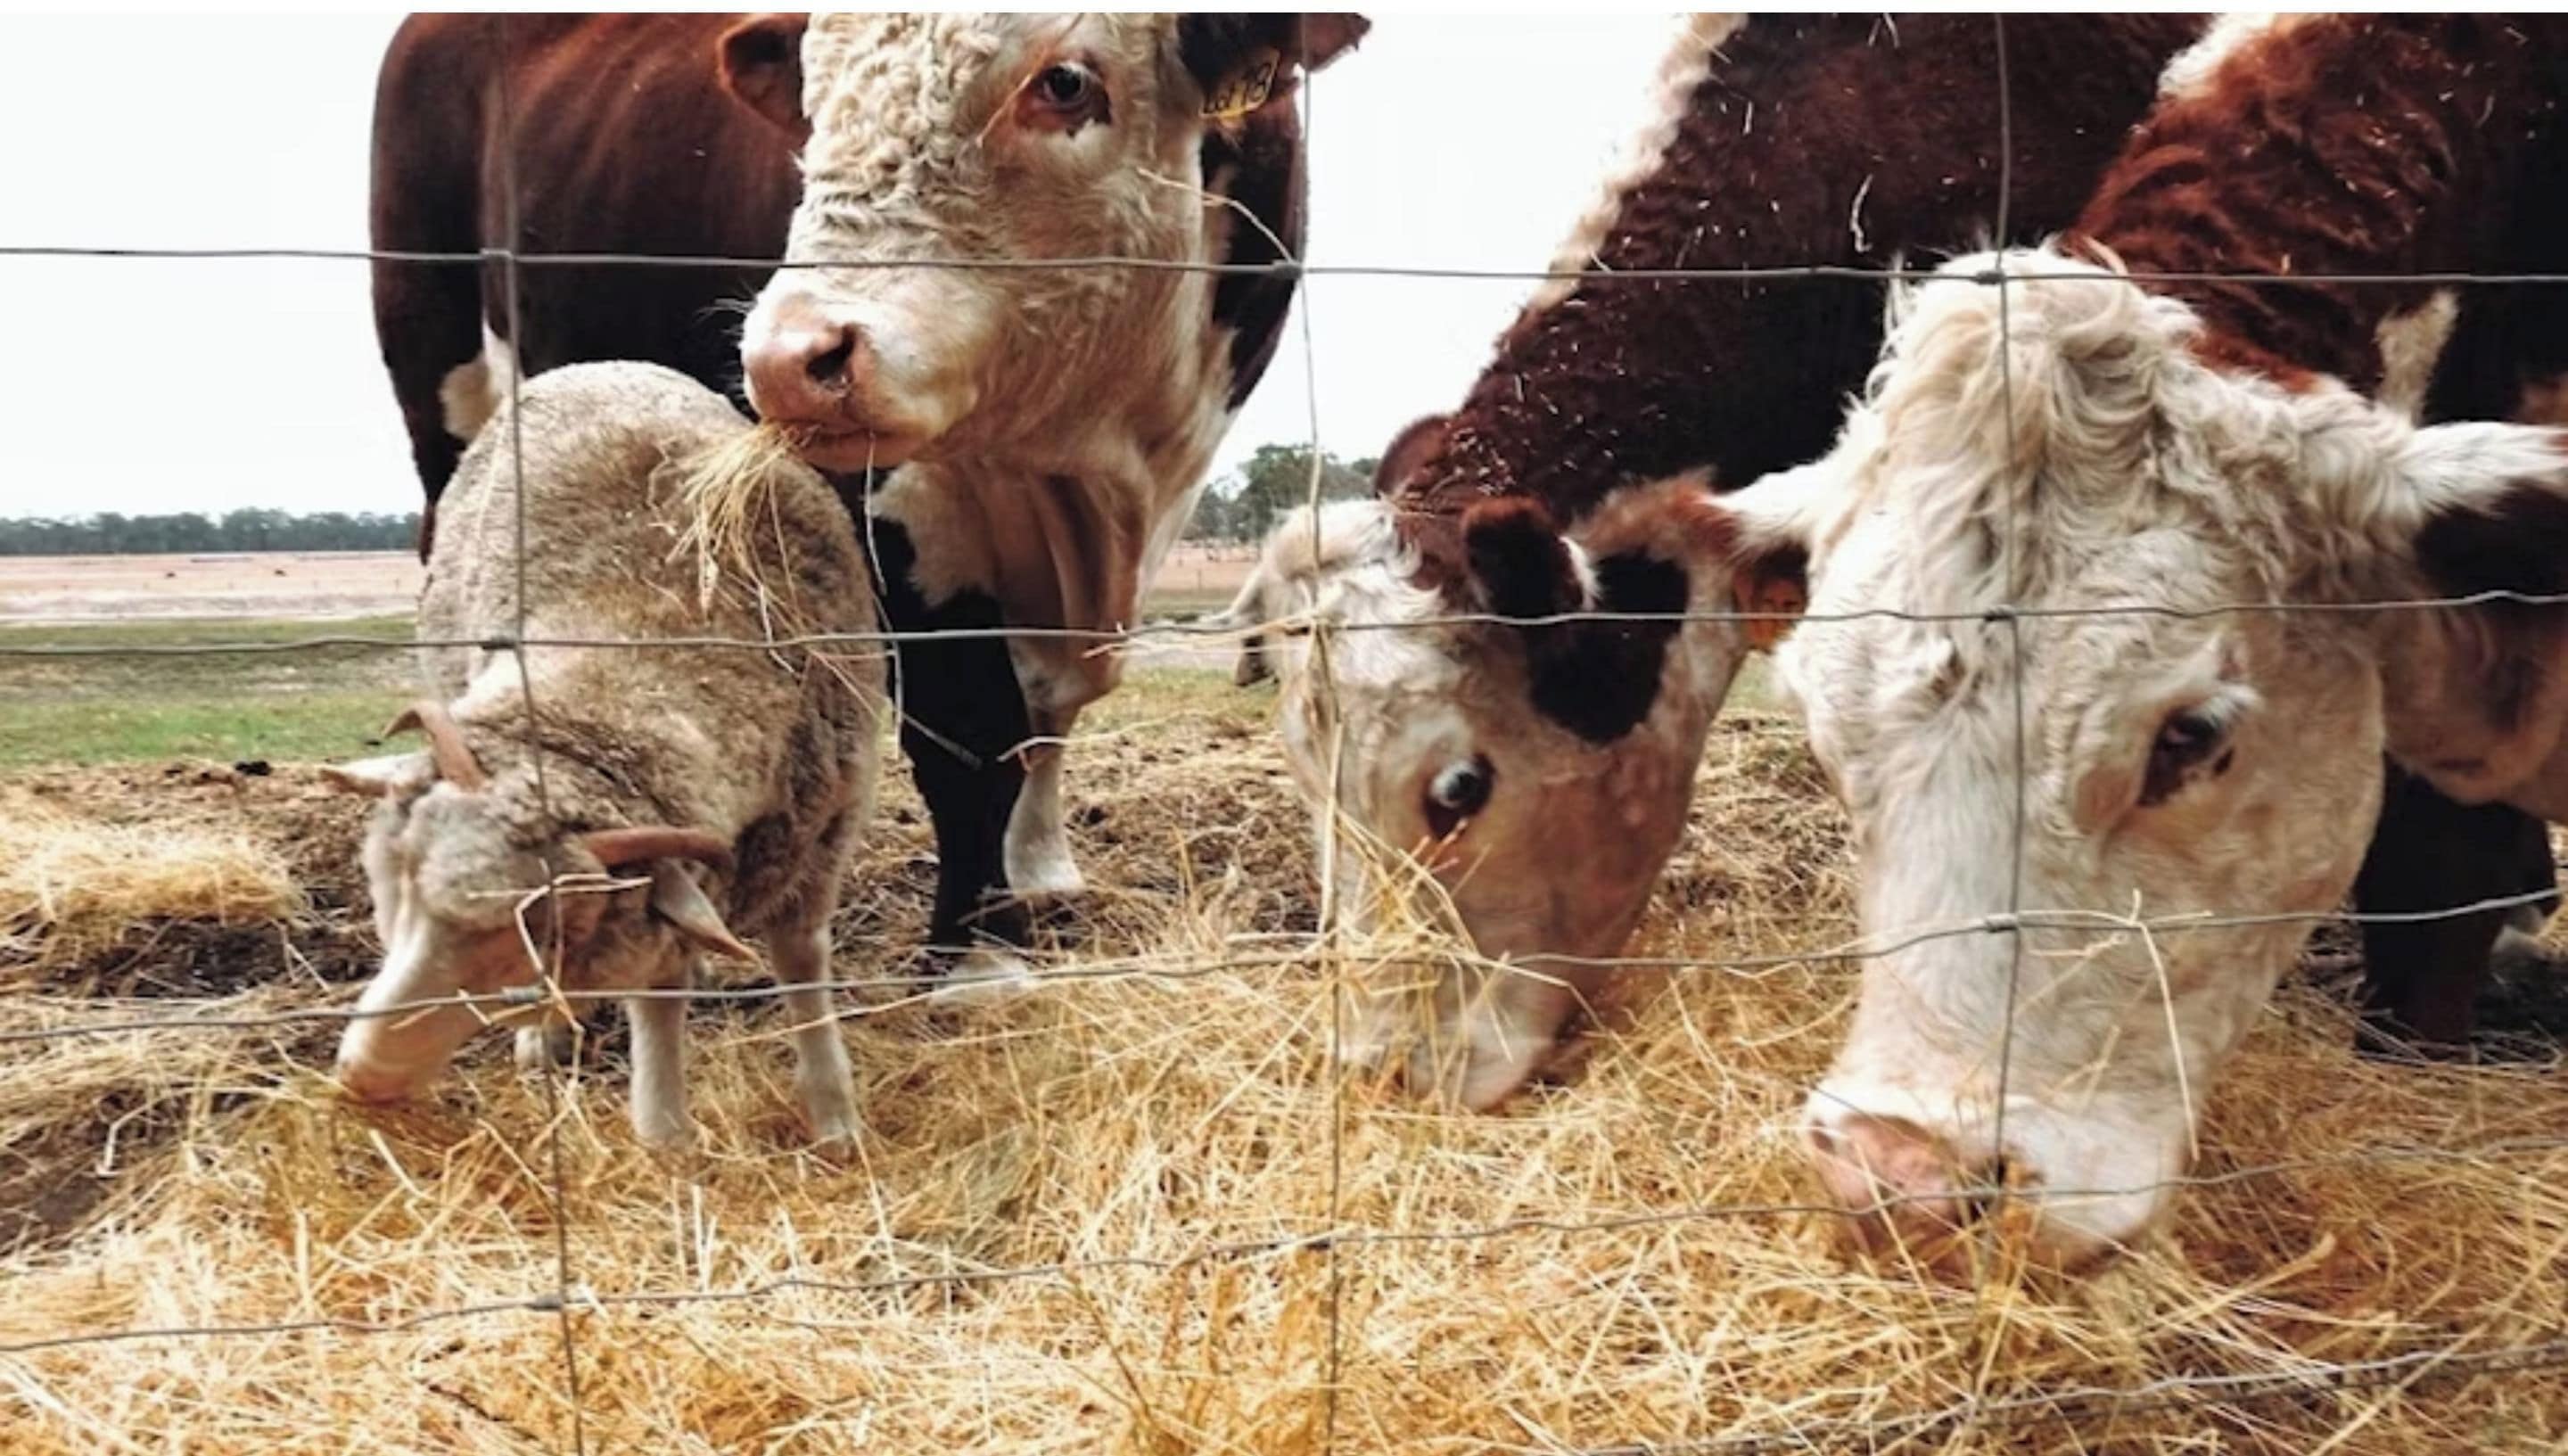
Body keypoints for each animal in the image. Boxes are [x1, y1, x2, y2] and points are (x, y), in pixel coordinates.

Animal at [370, 13, 1367, 976]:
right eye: (814, 106)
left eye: (1065, 82)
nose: (784, 358)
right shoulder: (896, 516)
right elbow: (972, 728)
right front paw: (978, 953)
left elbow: (1050, 708)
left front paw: (1039, 875)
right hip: (443, 385)